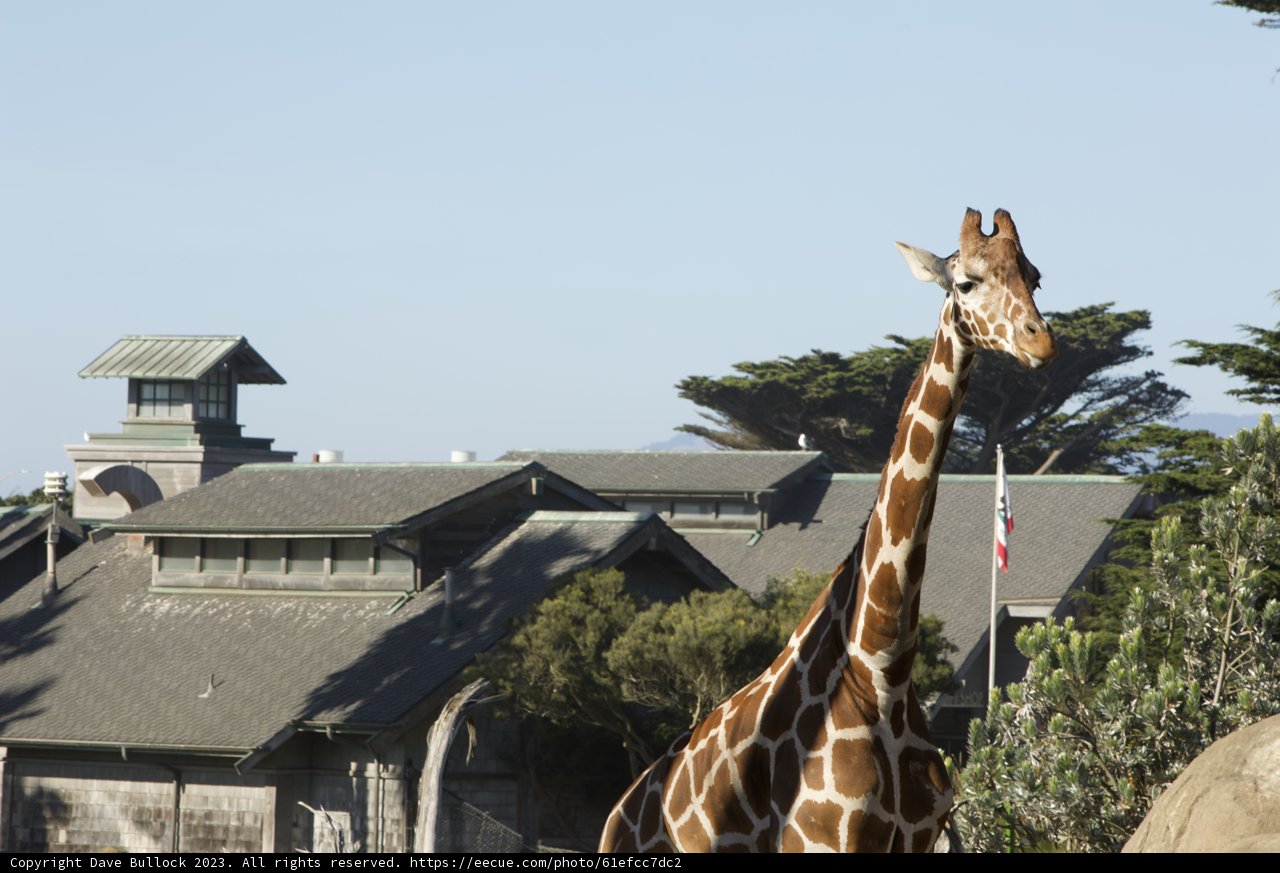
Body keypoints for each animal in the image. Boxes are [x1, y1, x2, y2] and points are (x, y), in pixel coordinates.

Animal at [599, 208, 1057, 853]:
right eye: (966, 283)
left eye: (1034, 277)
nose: (1041, 341)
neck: (881, 671)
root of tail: (620, 810)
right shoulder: (825, 840)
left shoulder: (920, 836)